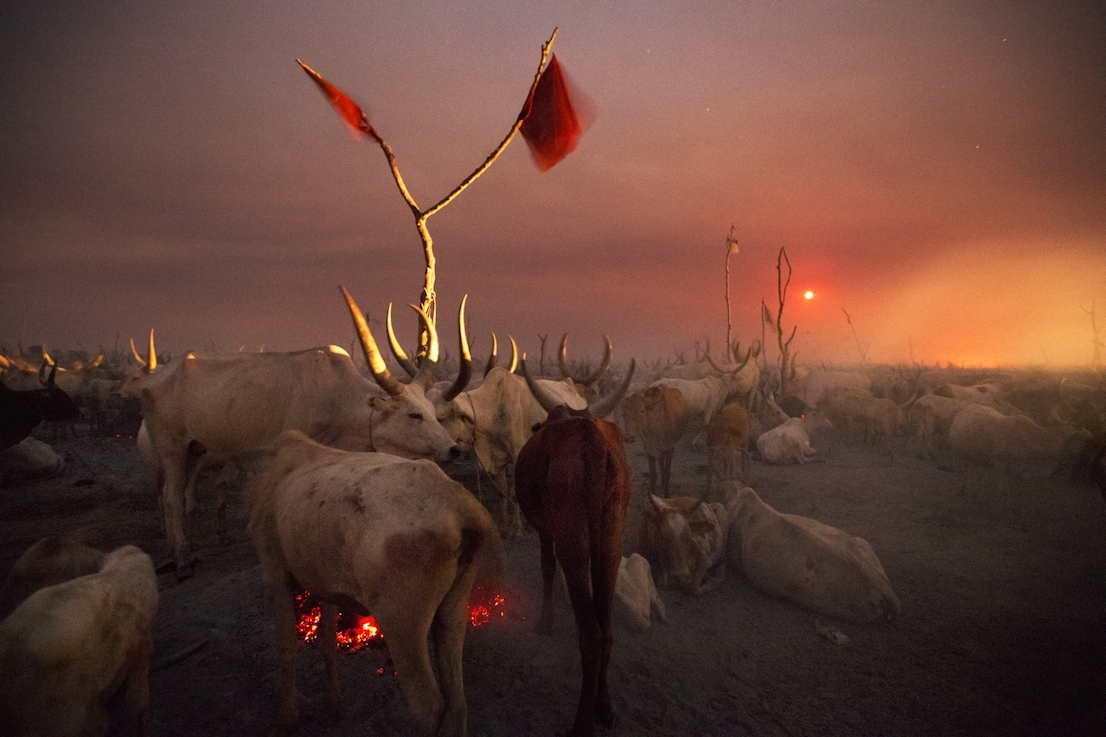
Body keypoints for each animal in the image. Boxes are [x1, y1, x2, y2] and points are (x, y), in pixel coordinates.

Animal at [248, 427, 499, 734]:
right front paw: (333, 706)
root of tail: (462, 506)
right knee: (458, 703)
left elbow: (286, 648)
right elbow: (327, 641)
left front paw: (287, 719)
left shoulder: (274, 566)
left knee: (428, 707)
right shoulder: (323, 581)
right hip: (454, 605)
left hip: (400, 618)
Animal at [515, 356, 637, 734]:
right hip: (610, 541)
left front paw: (545, 621)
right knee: (606, 631)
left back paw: (583, 721)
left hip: (573, 542)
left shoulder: (545, 529)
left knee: (593, 635)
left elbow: (546, 567)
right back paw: (604, 708)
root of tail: (590, 437)